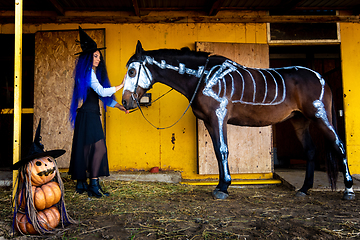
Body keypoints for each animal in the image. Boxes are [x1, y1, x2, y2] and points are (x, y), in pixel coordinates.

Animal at [121, 41, 354, 201]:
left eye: (132, 71)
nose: (125, 101)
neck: (204, 77)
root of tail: (321, 78)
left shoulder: (218, 117)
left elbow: (223, 151)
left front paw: (223, 188)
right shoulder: (210, 122)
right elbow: (217, 151)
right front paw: (220, 185)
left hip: (320, 117)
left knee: (339, 146)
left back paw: (349, 190)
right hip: (300, 121)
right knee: (311, 151)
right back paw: (304, 190)